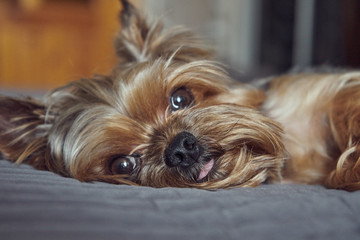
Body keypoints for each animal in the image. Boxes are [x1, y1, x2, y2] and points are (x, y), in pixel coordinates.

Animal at [0, 0, 360, 191]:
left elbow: (346, 103)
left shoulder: (327, 90)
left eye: (180, 98)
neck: (295, 153)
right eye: (123, 163)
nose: (180, 149)